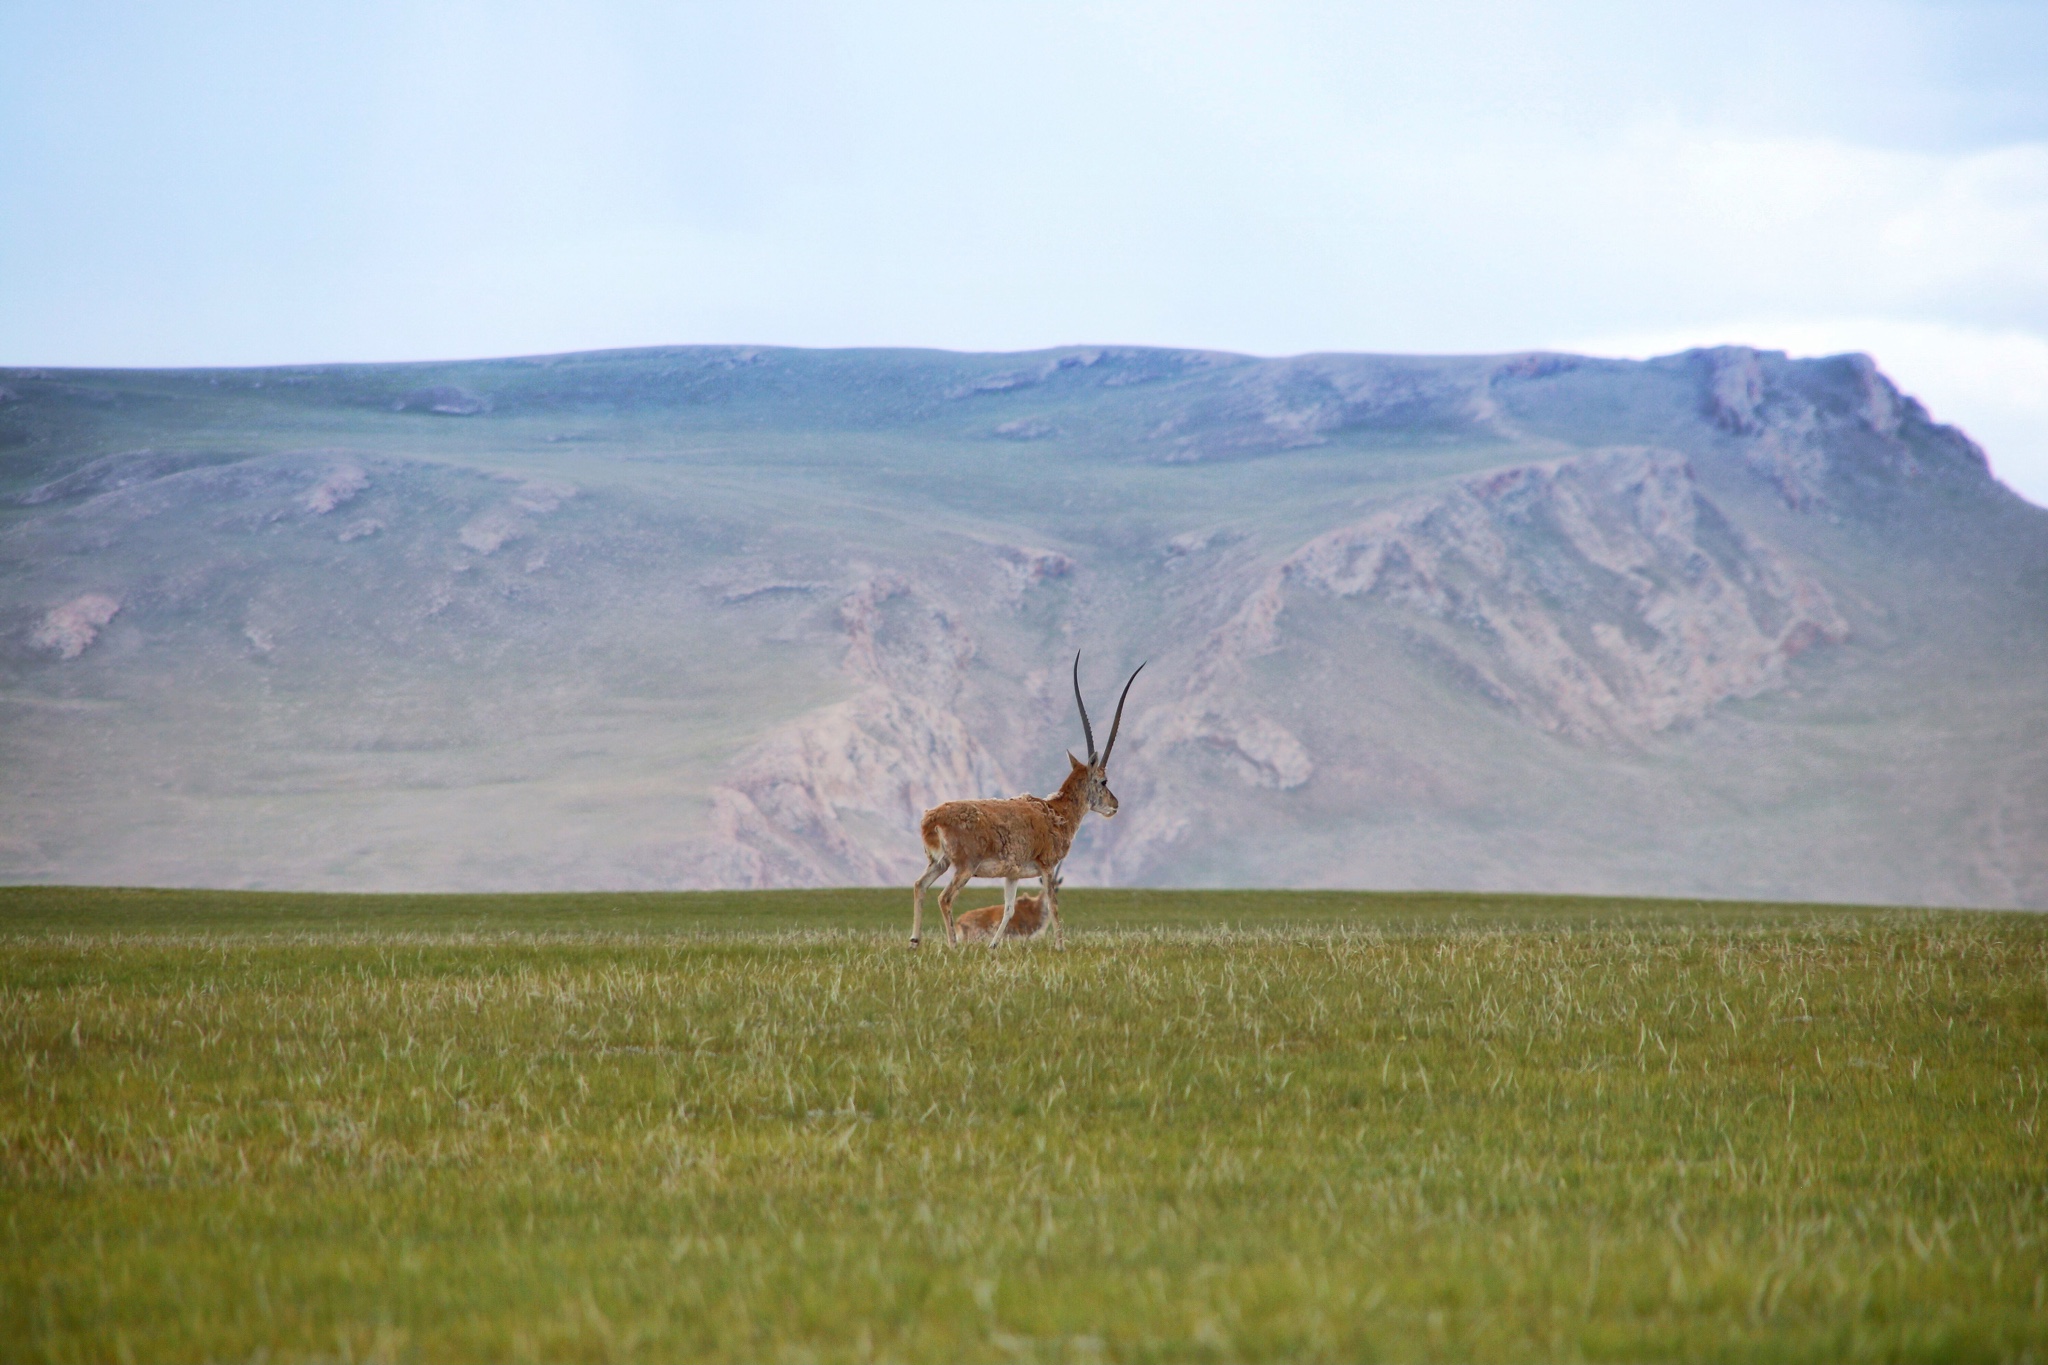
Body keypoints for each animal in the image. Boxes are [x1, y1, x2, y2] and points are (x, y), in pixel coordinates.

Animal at [909, 654, 1146, 949]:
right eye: (1103, 780)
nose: (1115, 805)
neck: (1055, 811)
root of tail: (932, 817)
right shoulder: (1047, 866)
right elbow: (1054, 905)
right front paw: (1060, 947)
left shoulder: (1012, 874)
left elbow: (1009, 908)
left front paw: (993, 946)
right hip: (964, 866)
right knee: (945, 897)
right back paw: (953, 946)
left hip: (939, 862)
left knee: (919, 885)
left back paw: (915, 941)